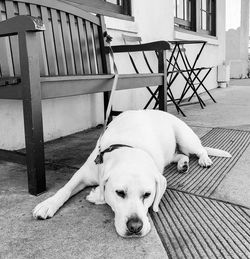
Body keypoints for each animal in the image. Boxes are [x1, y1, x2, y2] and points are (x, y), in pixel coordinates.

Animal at [32, 109, 231, 238]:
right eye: (120, 193)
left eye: (147, 195)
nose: (135, 227)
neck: (128, 147)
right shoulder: (84, 172)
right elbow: (65, 189)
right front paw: (48, 204)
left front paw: (96, 195)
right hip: (173, 151)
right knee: (181, 155)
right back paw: (183, 164)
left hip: (186, 138)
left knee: (199, 150)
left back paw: (204, 159)